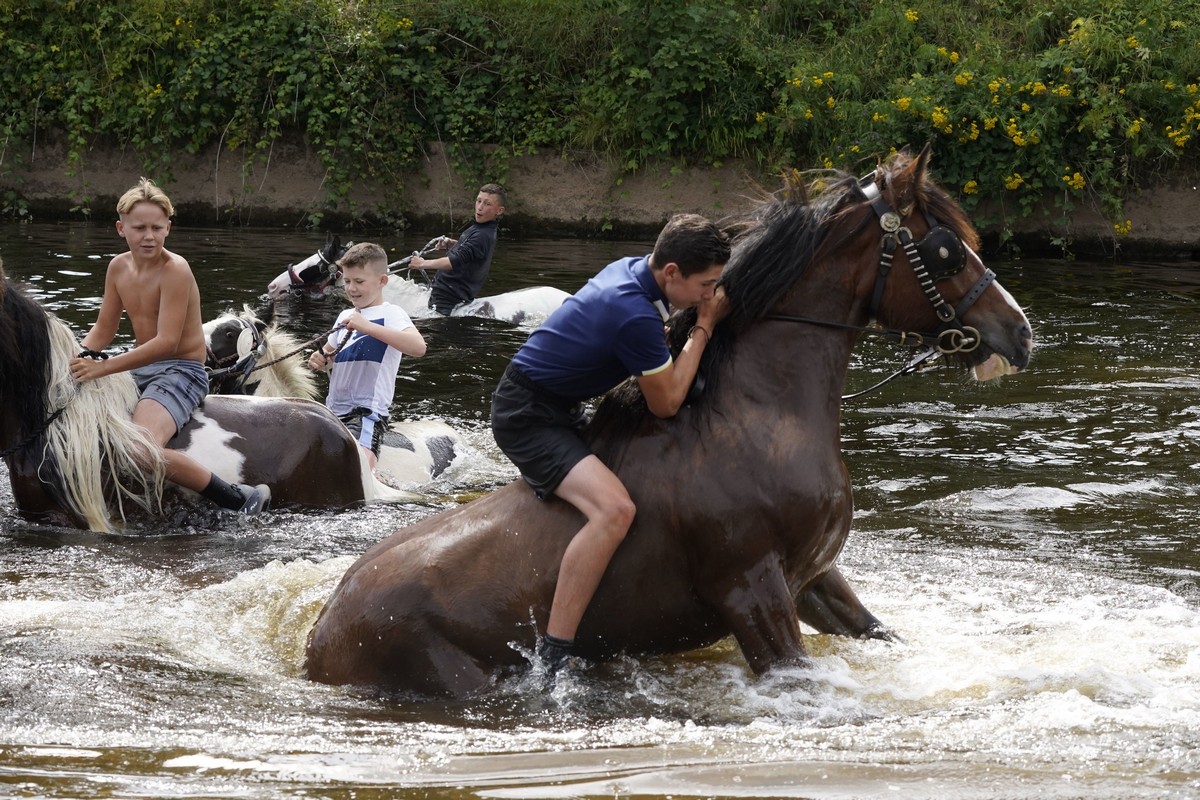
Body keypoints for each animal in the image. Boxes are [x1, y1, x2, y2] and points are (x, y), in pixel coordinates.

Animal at [304, 146, 1036, 695]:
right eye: (946, 251)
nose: (1020, 333)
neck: (757, 414)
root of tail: (321, 635)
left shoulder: (813, 577)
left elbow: (880, 632)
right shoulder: (750, 589)